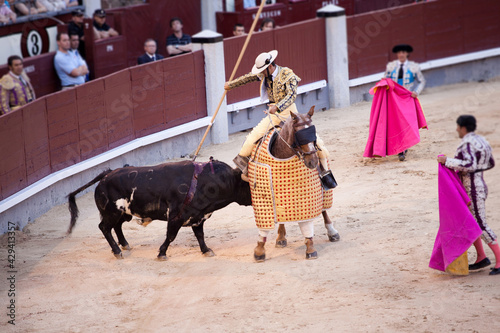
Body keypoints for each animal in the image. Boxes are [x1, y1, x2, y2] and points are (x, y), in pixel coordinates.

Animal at [68, 159, 252, 260]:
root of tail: (106, 174)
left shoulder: (197, 217)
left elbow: (200, 235)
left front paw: (206, 251)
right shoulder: (176, 217)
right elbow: (170, 236)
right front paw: (162, 253)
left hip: (124, 213)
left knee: (117, 226)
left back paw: (125, 245)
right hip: (112, 212)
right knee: (105, 227)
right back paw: (117, 251)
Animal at [247, 105, 338, 260]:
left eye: (312, 132)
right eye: (298, 134)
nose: (313, 162)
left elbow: (307, 224)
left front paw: (310, 248)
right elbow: (265, 226)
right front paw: (259, 250)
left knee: (324, 210)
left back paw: (332, 232)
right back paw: (280, 238)